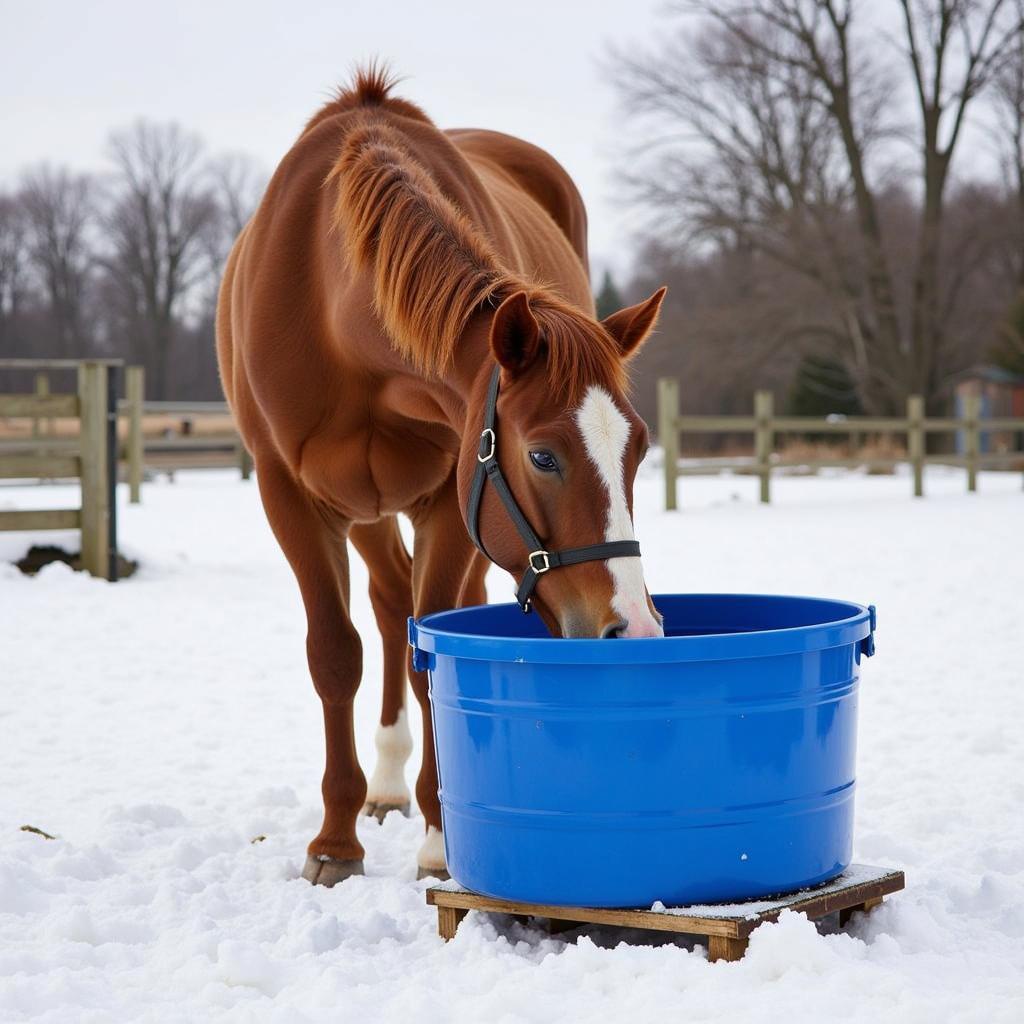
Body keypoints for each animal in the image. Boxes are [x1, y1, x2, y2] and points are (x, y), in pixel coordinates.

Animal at [215, 68, 663, 884]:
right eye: (542, 455)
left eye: (638, 450)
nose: (636, 627)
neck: (333, 306)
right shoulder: (290, 495)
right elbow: (336, 655)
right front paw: (334, 844)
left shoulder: (449, 504)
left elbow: (433, 649)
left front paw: (436, 841)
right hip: (361, 510)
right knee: (388, 604)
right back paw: (384, 785)